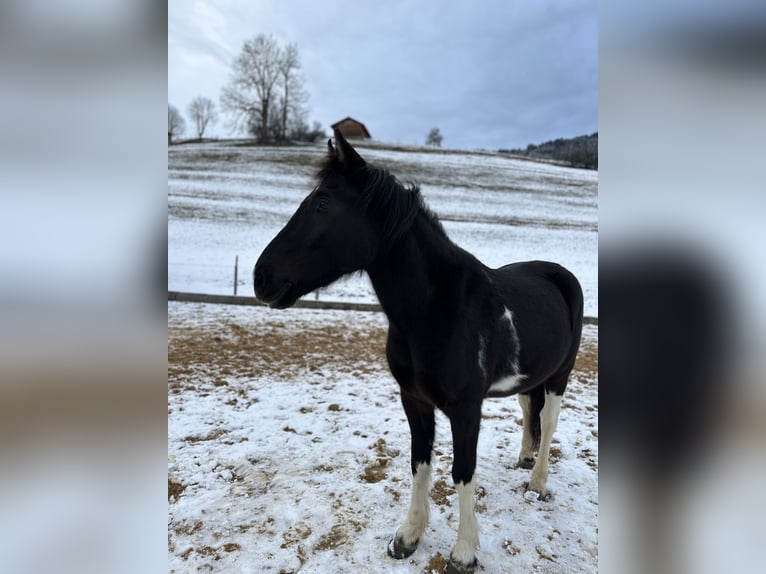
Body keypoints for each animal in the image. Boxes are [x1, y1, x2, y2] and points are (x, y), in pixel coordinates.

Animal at [255, 132, 584, 574]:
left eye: (322, 203)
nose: (261, 277)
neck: (437, 310)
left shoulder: (466, 409)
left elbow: (462, 471)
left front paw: (464, 552)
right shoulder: (413, 400)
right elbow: (419, 462)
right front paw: (408, 537)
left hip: (559, 377)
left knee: (547, 423)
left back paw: (537, 484)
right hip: (530, 378)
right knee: (529, 413)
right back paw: (525, 460)